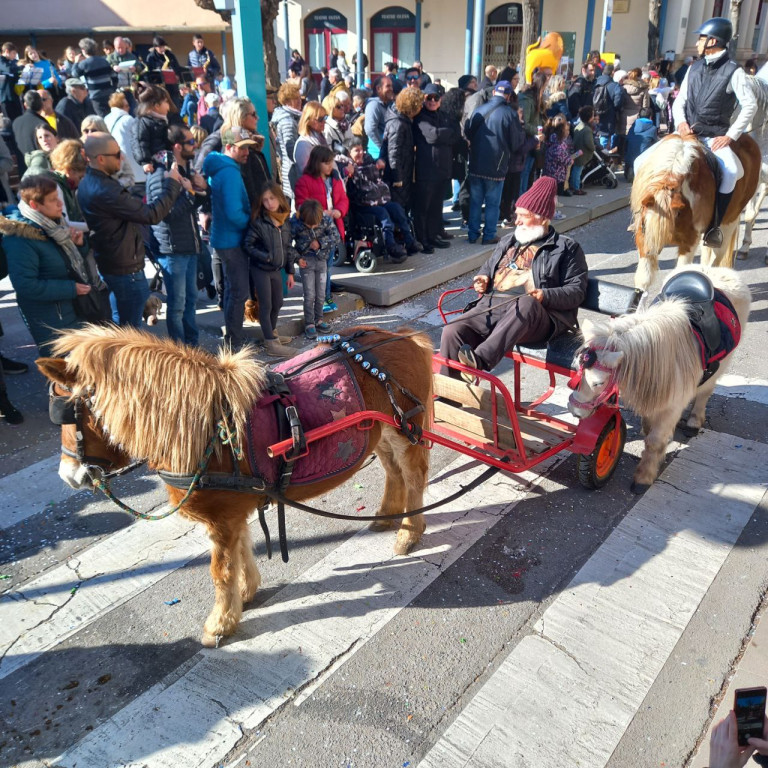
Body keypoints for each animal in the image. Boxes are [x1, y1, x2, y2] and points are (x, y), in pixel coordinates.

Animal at [37, 324, 432, 648]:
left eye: (70, 413)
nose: (69, 475)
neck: (209, 429)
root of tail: (404, 335)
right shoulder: (234, 511)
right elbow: (242, 549)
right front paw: (246, 592)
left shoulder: (221, 518)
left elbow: (220, 570)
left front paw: (221, 623)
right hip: (380, 432)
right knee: (393, 471)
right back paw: (387, 515)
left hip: (405, 429)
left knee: (413, 476)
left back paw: (409, 531)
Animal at [568, 264, 752, 492]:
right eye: (576, 368)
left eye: (599, 382)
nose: (575, 411)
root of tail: (718, 270)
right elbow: (650, 430)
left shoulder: (671, 406)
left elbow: (654, 441)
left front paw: (644, 476)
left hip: (720, 367)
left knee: (704, 393)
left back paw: (694, 421)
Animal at [632, 134, 760, 296]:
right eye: (643, 224)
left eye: (679, 214)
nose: (651, 252)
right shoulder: (642, 239)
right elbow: (643, 280)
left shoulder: (689, 240)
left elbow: (679, 275)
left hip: (729, 222)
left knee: (717, 258)